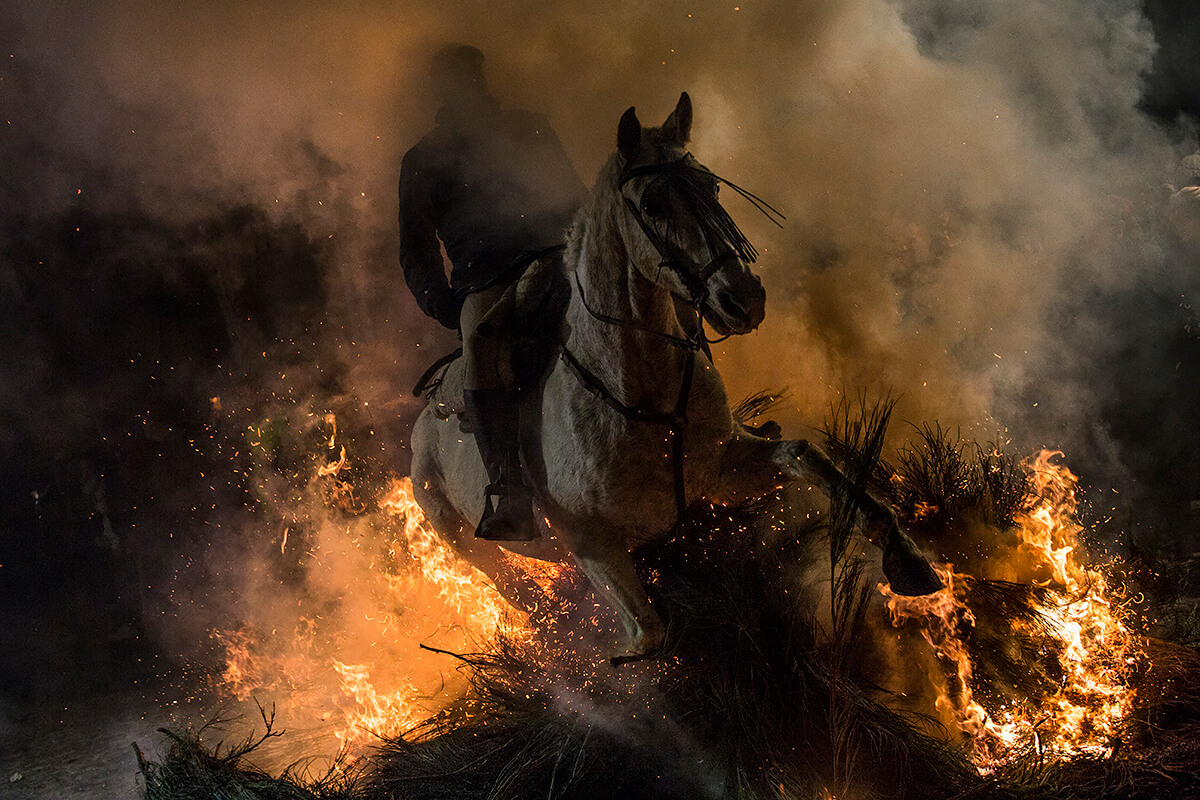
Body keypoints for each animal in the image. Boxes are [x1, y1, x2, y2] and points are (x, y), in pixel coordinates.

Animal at [408, 92, 940, 662]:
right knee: (523, 597)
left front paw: (907, 559)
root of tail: (422, 427)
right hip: (466, 542)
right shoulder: (592, 546)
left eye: (711, 187)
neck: (640, 390)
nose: (743, 298)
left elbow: (802, 457)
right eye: (652, 206)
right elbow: (649, 633)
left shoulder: (722, 474)